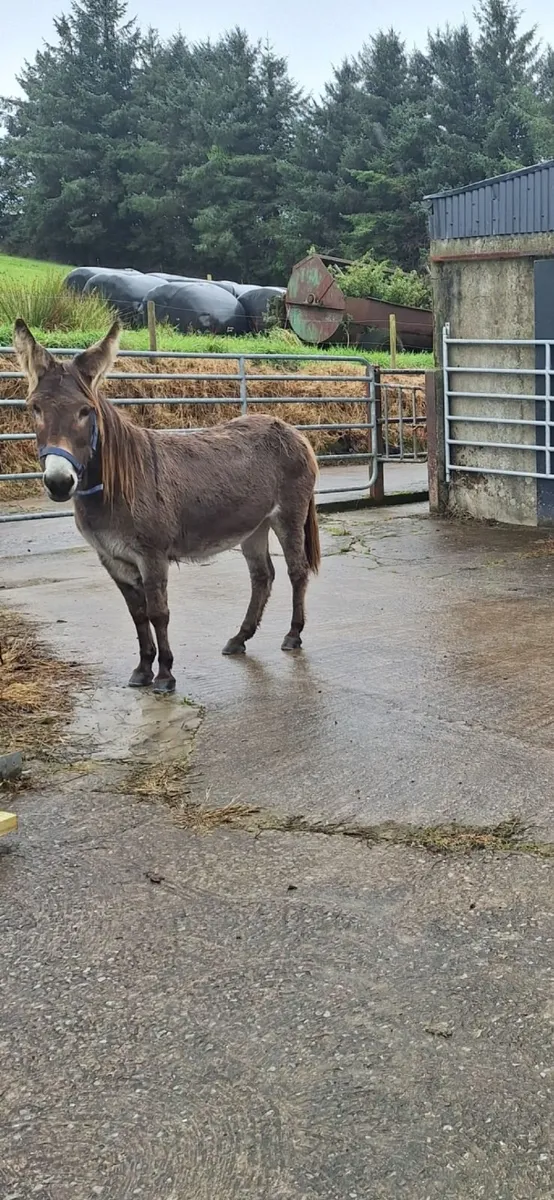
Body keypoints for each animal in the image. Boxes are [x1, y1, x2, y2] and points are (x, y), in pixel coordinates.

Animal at [14, 319, 321, 693]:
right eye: (35, 408)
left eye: (85, 411)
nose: (59, 482)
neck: (116, 490)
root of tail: (292, 430)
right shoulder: (113, 560)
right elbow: (138, 615)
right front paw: (143, 670)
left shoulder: (152, 556)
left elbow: (159, 612)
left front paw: (164, 675)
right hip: (254, 525)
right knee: (262, 576)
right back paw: (240, 638)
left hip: (288, 514)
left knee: (296, 570)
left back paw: (293, 635)